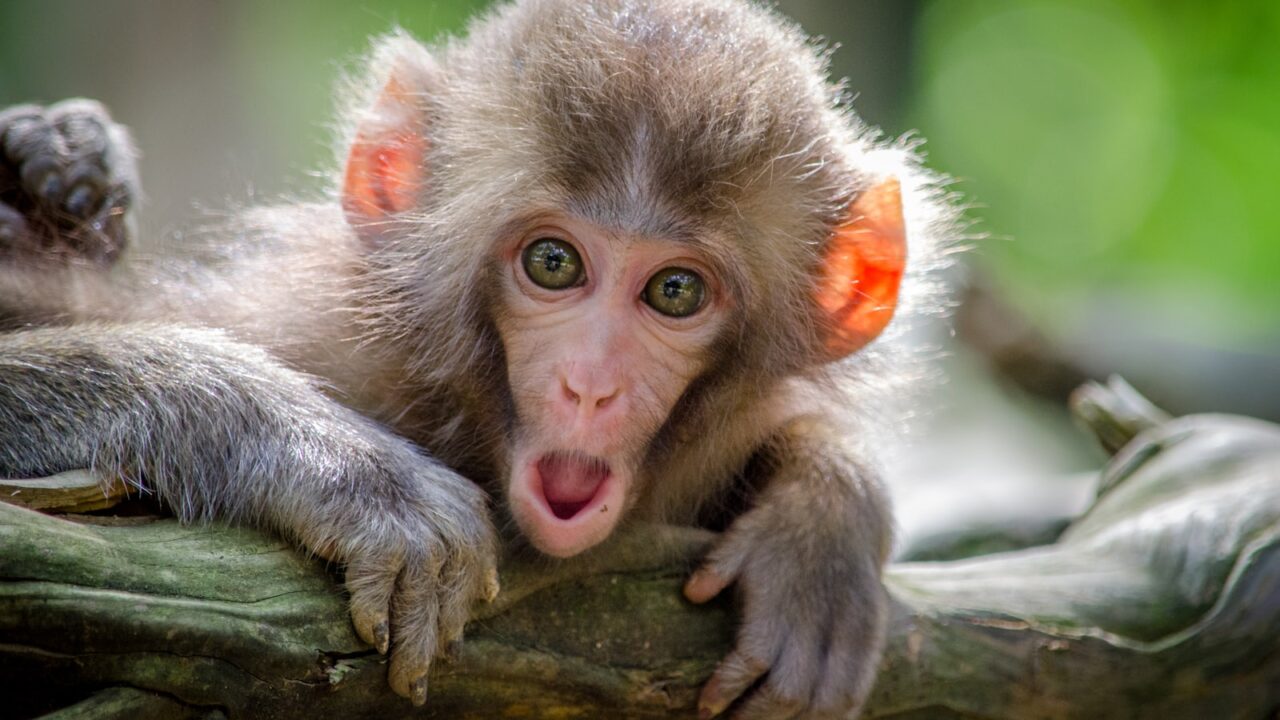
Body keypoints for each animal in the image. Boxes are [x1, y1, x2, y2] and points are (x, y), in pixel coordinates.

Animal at [0, 0, 956, 717]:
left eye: (676, 291)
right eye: (554, 263)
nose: (590, 385)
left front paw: (821, 525)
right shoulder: (313, 328)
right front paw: (346, 469)